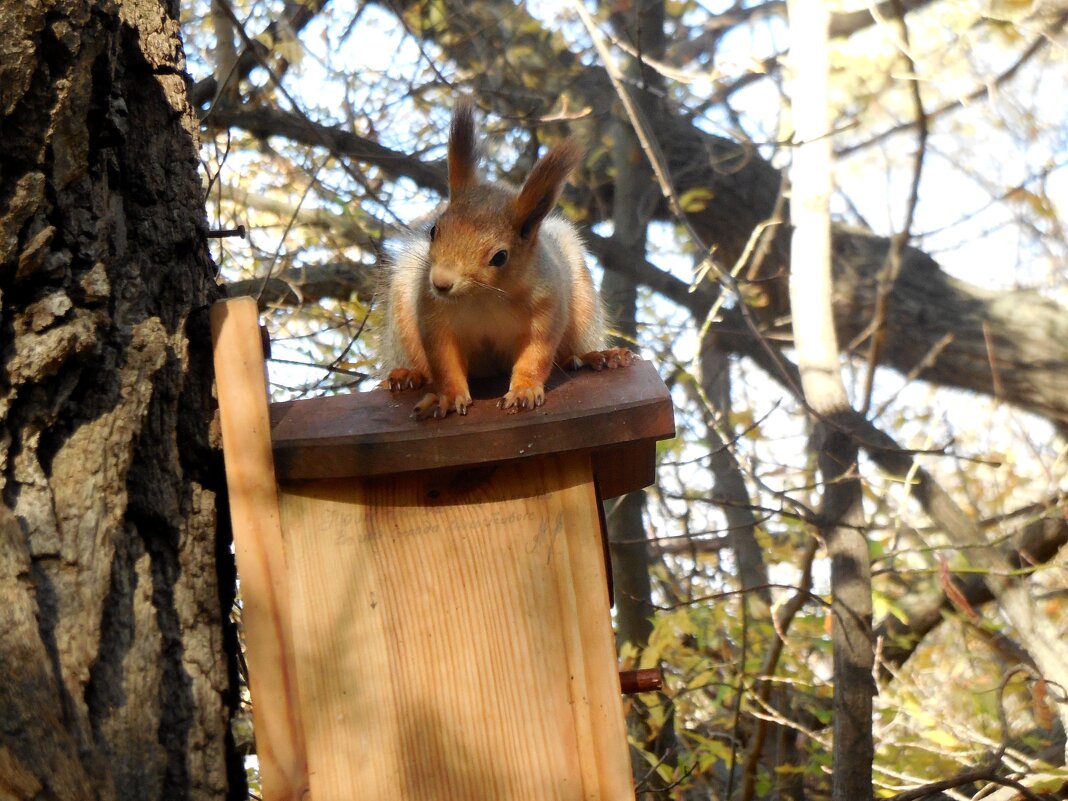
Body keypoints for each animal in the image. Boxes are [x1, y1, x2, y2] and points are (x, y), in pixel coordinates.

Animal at [380, 99, 632, 420]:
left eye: (500, 256)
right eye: (435, 230)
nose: (441, 283)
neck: (485, 296)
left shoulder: (547, 309)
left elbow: (536, 355)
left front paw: (524, 391)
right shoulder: (433, 316)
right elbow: (443, 361)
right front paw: (448, 397)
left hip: (582, 299)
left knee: (568, 353)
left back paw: (597, 356)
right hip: (404, 303)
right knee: (421, 363)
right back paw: (408, 375)